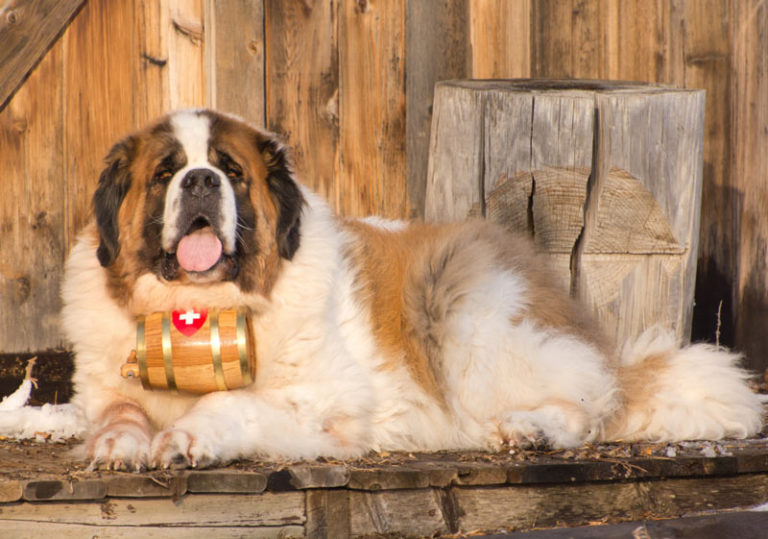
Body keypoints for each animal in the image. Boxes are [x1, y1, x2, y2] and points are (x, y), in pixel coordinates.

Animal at [63, 110, 764, 472]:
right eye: (165, 175)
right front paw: (118, 442)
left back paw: (531, 429)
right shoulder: (113, 384)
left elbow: (227, 402)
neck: (199, 308)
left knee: (592, 406)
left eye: (230, 171)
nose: (202, 181)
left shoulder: (328, 404)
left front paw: (186, 437)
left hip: (460, 306)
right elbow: (119, 411)